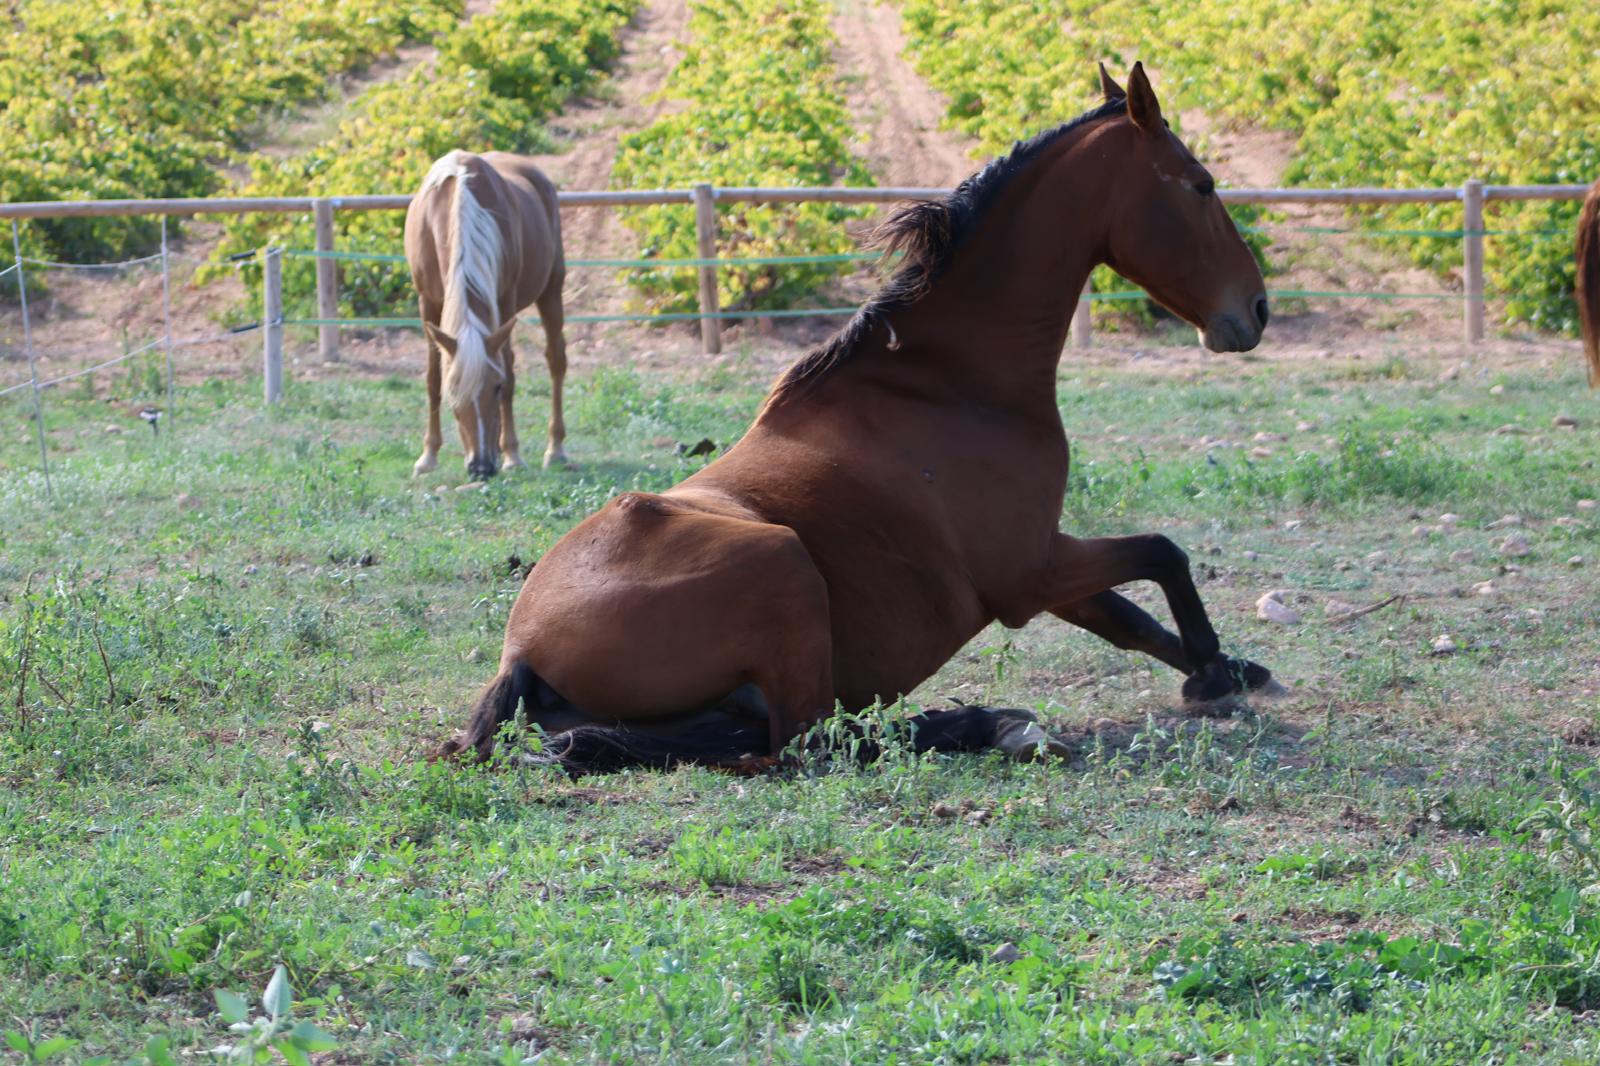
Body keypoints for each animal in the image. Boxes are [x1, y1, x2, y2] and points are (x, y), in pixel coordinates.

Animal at [404, 150, 569, 480]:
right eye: (453, 393)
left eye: (495, 387)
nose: (481, 467)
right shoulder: (427, 301)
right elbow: (432, 378)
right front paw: (428, 455)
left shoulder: (504, 301)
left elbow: (510, 373)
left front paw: (513, 455)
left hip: (552, 287)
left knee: (556, 361)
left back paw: (554, 449)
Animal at [436, 63, 1280, 771]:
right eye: (1202, 184)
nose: (1257, 310)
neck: (946, 381)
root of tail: (521, 651)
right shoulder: (1028, 572)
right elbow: (1163, 553)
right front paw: (1214, 673)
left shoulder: (1048, 562)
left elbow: (1131, 617)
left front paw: (1233, 670)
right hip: (783, 567)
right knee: (808, 741)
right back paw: (991, 724)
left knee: (728, 737)